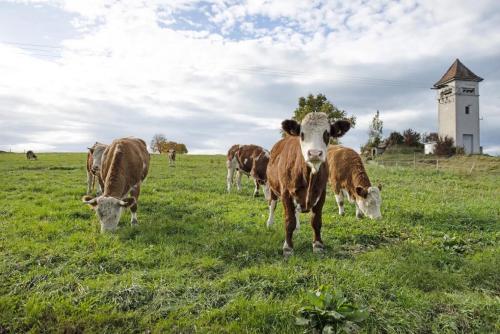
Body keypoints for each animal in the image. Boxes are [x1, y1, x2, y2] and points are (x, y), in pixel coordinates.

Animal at [266, 112, 352, 256]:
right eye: (302, 134)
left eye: (327, 134)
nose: (315, 153)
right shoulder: (286, 193)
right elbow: (289, 221)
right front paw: (288, 247)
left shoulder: (321, 193)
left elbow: (316, 221)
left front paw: (317, 245)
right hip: (273, 187)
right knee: (272, 205)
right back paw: (270, 222)